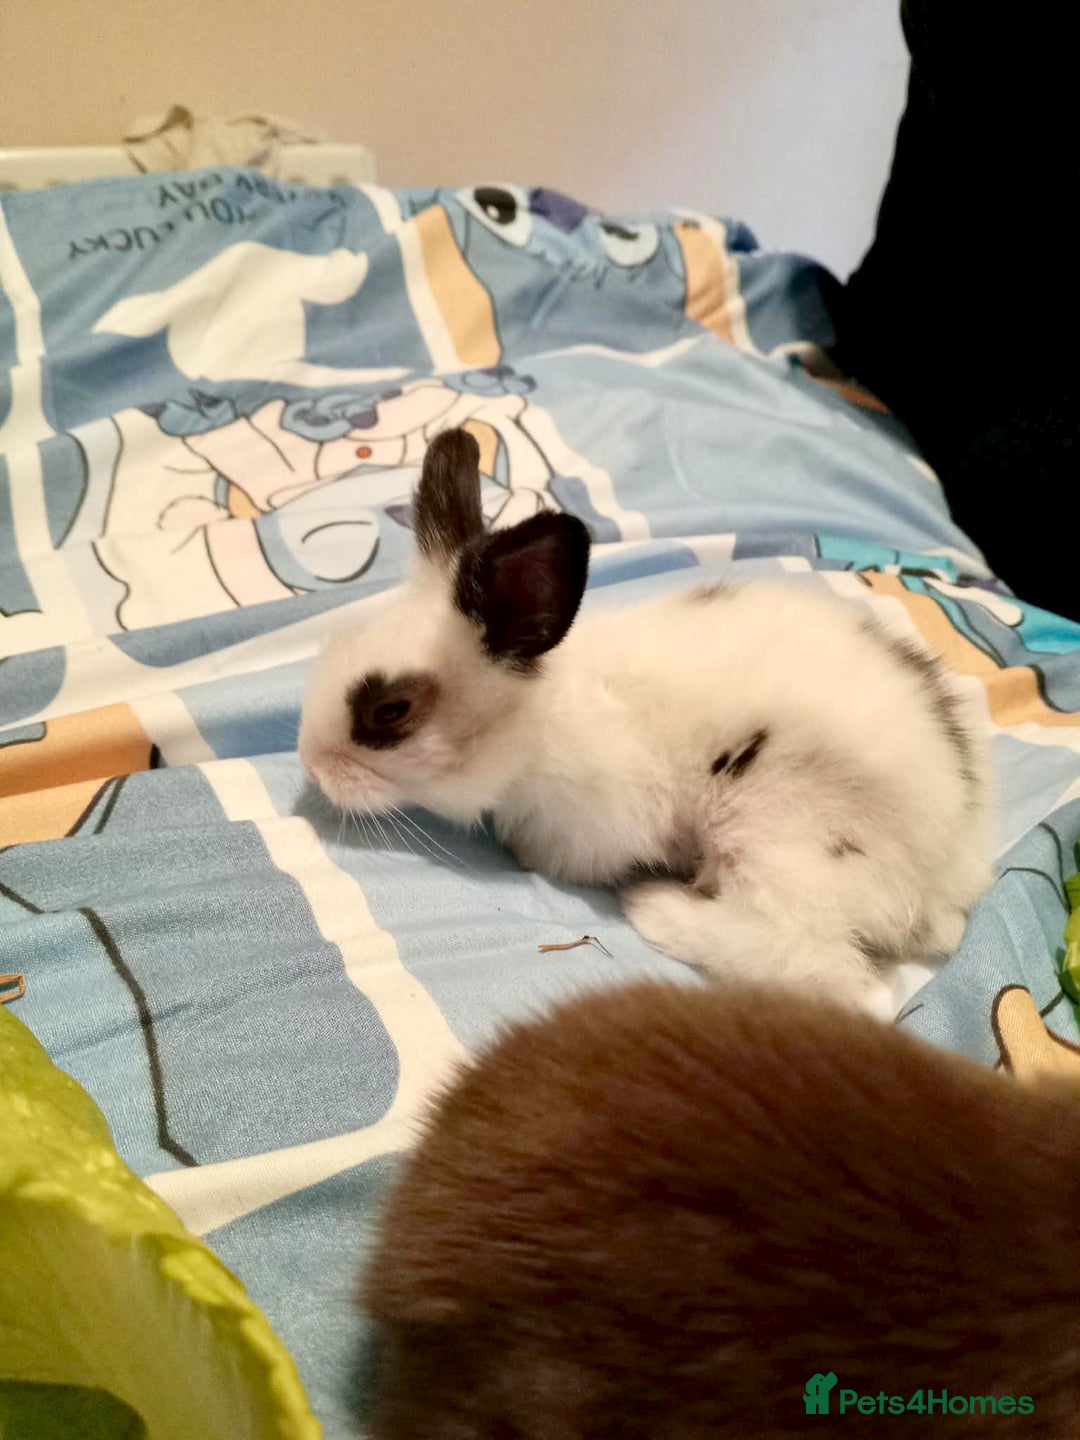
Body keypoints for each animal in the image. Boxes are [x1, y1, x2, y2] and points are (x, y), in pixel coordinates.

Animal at [299, 428, 992, 1007]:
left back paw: (654, 905)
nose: (311, 765)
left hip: (774, 829)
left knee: (812, 963)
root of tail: (948, 874)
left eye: (390, 711)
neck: (536, 723)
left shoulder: (598, 822)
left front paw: (528, 859)